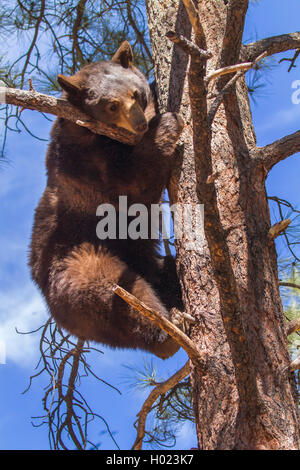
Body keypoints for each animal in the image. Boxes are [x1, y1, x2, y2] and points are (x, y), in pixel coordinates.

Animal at [30, 42, 185, 358]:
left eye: (135, 94)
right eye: (111, 106)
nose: (139, 124)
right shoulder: (84, 164)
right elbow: (132, 181)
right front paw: (168, 122)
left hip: (144, 261)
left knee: (164, 272)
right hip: (76, 265)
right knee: (113, 292)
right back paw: (167, 334)